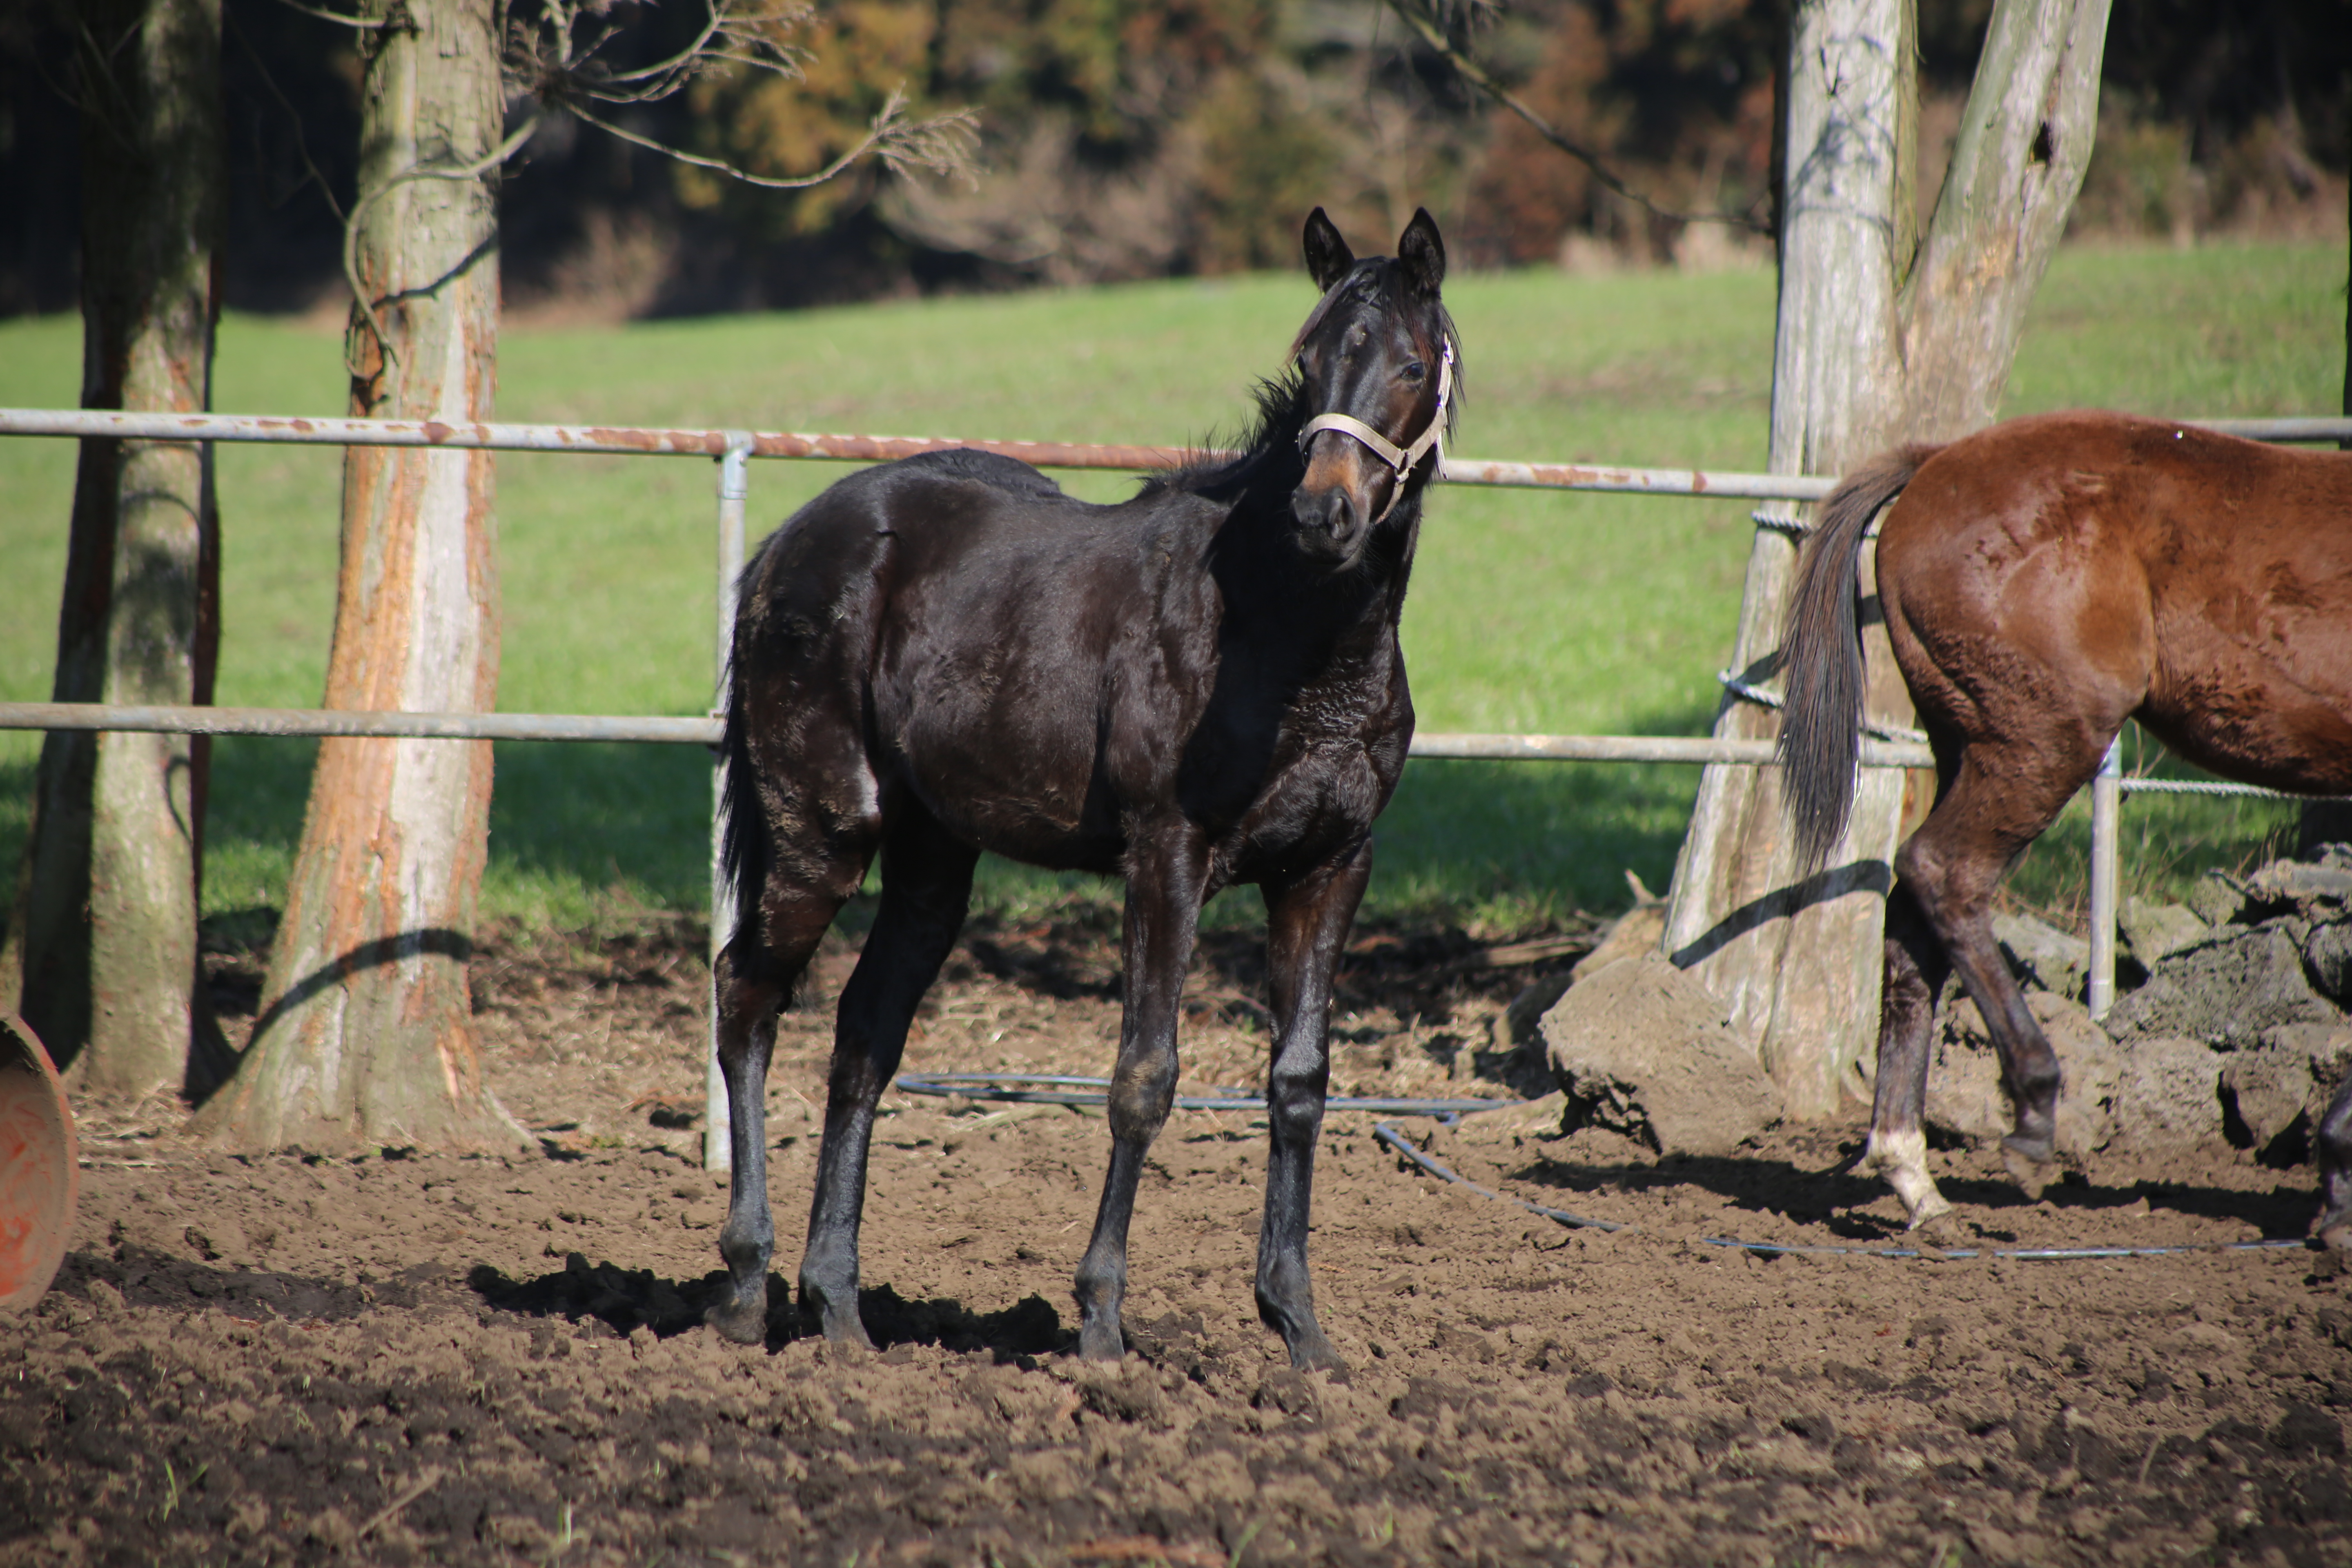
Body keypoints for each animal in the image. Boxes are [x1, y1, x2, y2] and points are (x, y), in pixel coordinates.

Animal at [706, 205, 1458, 1363]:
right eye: (1311, 357)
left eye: (1414, 365)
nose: (1323, 514)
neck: (1290, 634)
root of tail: (789, 542)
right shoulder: (1168, 858)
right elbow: (1143, 1077)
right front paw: (1102, 1321)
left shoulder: (1330, 866)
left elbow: (1299, 1082)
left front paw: (1300, 1331)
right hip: (822, 828)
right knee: (747, 996)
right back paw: (748, 1287)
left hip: (934, 857)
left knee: (864, 1037)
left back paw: (839, 1311)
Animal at [1778, 411, 2352, 1241]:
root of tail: (1936, 465)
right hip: (2043, 743)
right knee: (1945, 875)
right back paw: (2033, 1108)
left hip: (1970, 743)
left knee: (1913, 921)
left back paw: (1914, 1176)